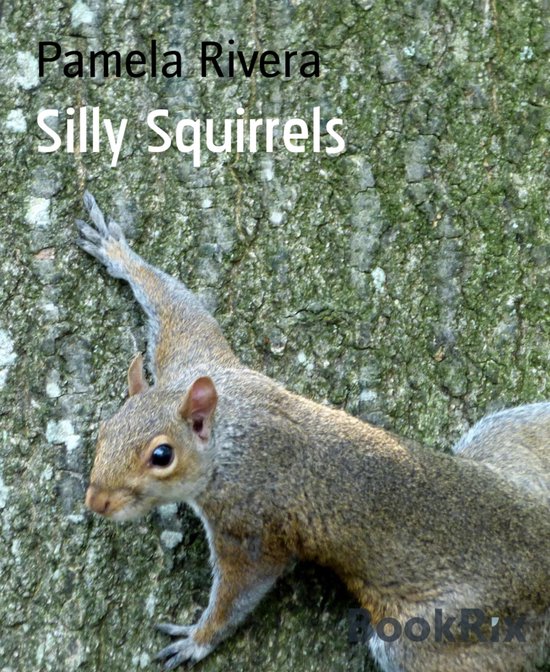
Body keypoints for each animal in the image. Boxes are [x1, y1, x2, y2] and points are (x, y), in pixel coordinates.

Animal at [77, 192, 549, 672]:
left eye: (162, 456)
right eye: (106, 429)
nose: (96, 501)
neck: (231, 435)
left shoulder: (250, 520)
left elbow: (242, 588)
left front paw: (199, 638)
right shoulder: (195, 360)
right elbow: (179, 307)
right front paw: (118, 253)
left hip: (438, 635)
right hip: (507, 441)